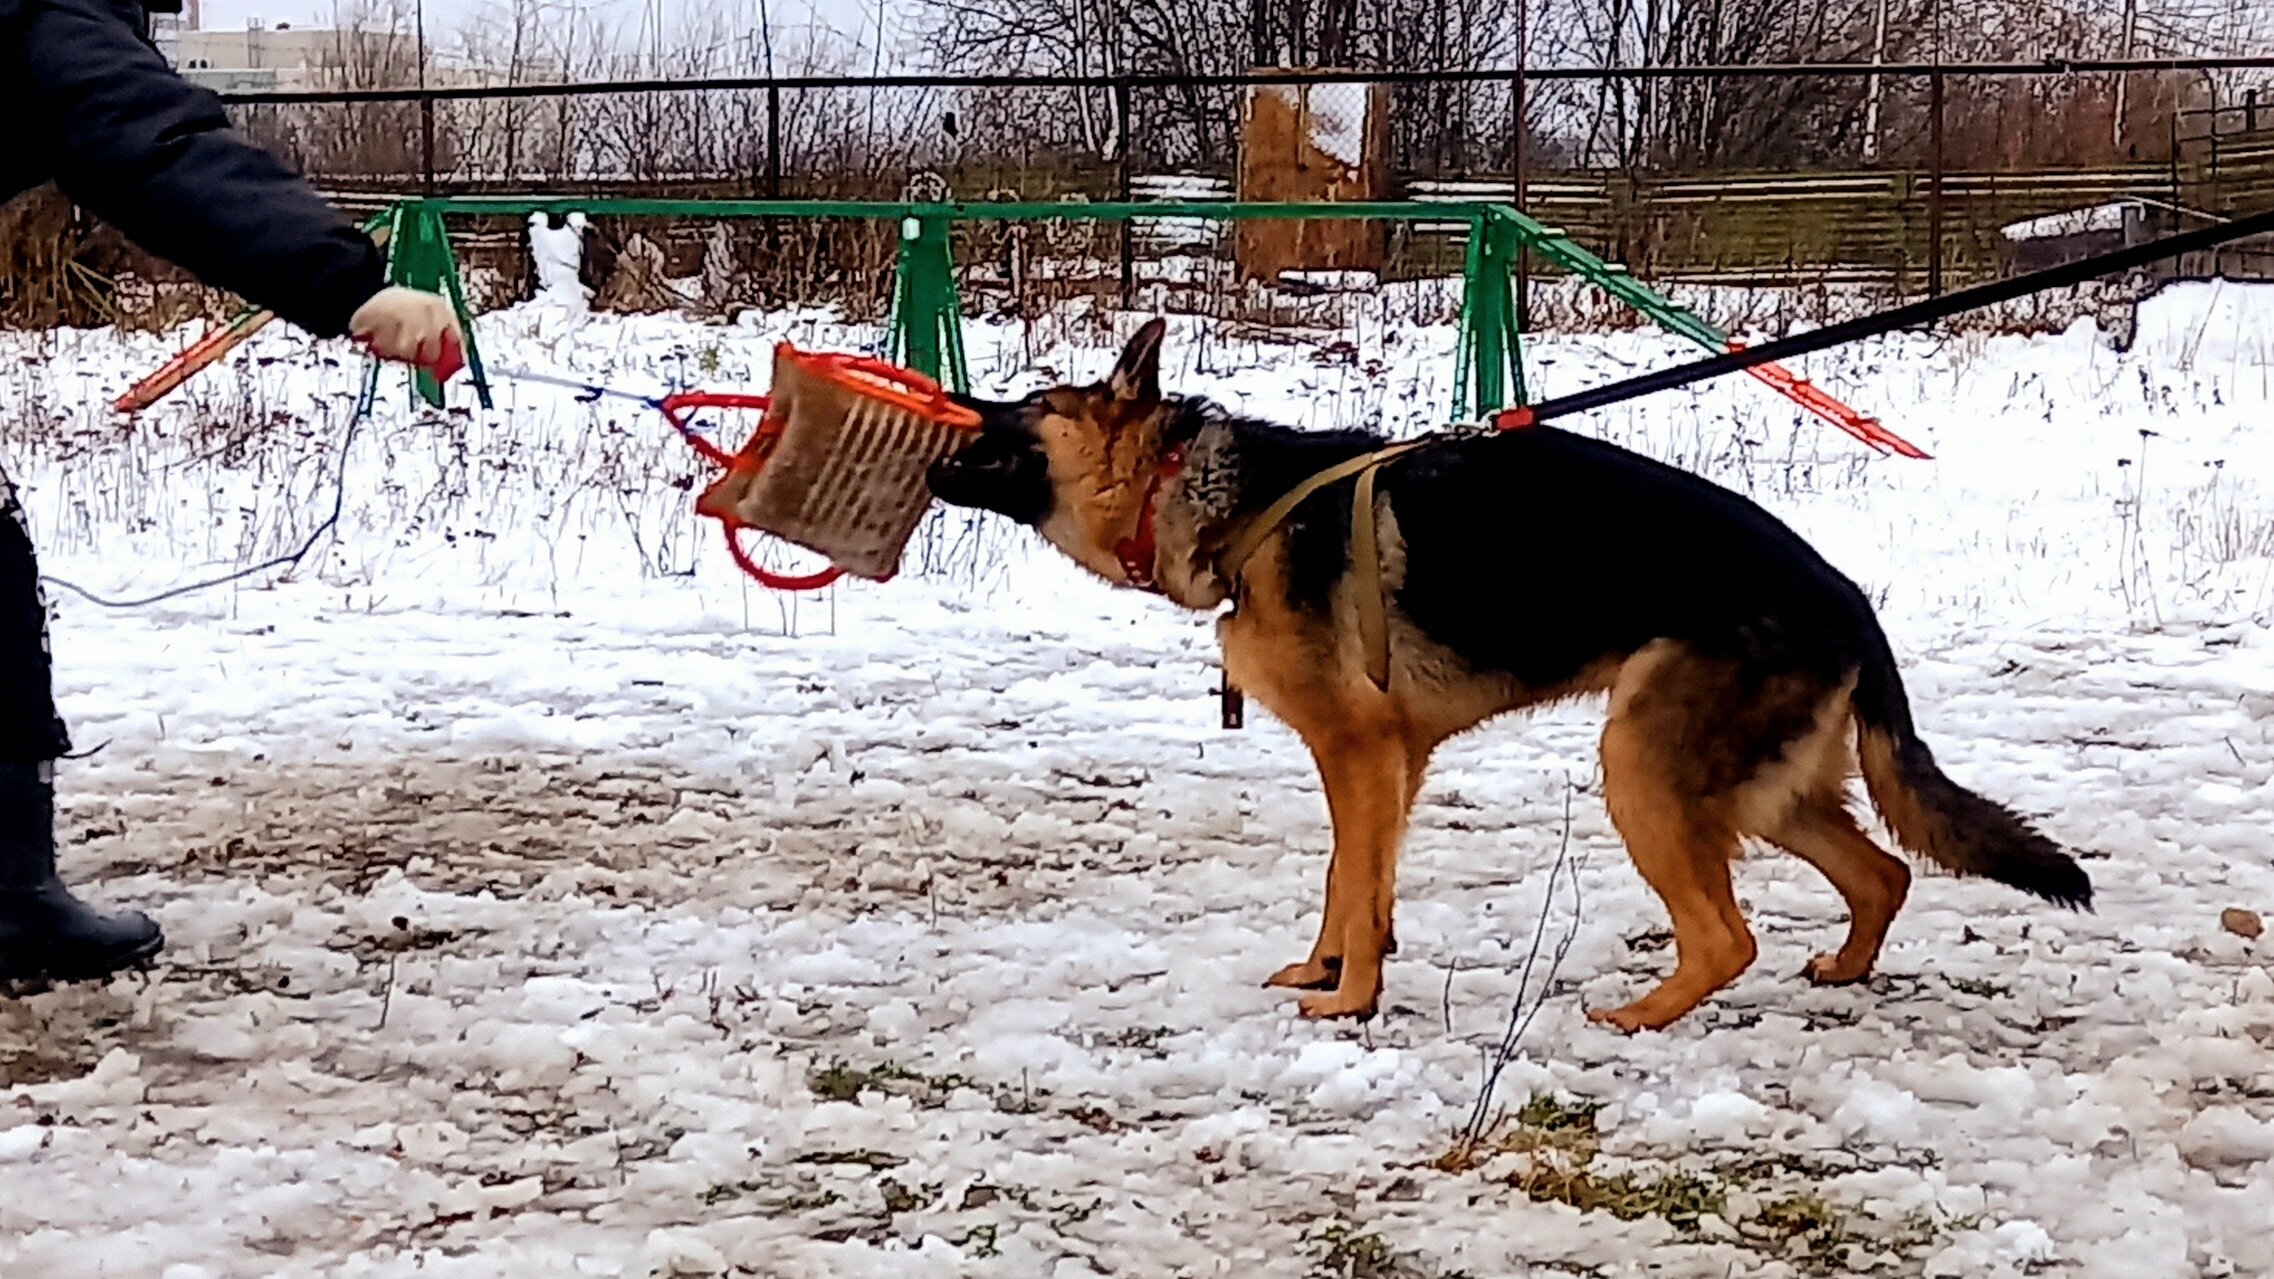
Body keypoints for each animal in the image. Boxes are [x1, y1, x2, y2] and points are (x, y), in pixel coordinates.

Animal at [918, 316, 2082, 1024]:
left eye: (1032, 403)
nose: (951, 403)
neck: (1212, 492)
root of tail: (1846, 595)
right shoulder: (1389, 765)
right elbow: (1352, 879)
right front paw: (1331, 968)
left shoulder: (1358, 753)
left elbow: (1355, 881)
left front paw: (1349, 999)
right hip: (1755, 787)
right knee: (1882, 872)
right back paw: (1843, 967)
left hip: (1641, 770)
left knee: (1728, 937)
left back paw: (1639, 1016)